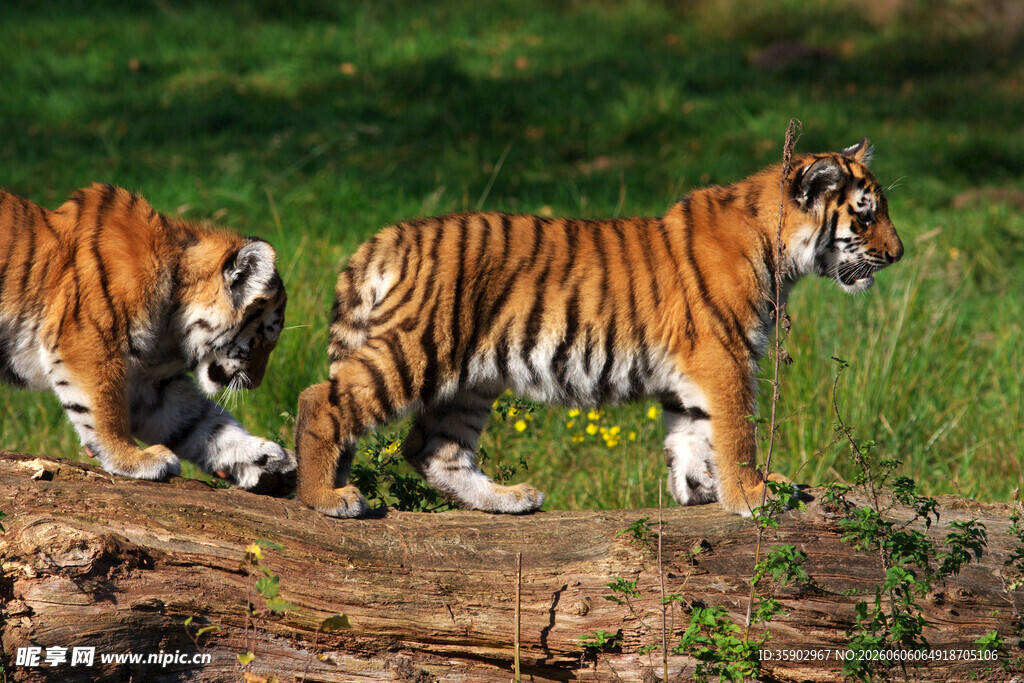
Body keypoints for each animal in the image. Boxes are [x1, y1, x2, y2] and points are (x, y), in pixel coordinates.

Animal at [0, 183, 296, 492]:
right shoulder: (87, 344)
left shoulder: (147, 383)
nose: (256, 383)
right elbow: (104, 408)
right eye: (264, 338)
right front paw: (131, 457)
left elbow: (202, 423)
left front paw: (265, 460)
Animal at [295, 139, 903, 518]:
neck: (780, 253)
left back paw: (509, 499)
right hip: (417, 349)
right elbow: (735, 431)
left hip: (470, 380)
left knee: (432, 450)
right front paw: (752, 494)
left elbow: (692, 432)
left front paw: (699, 490)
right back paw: (326, 498)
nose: (898, 255)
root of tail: (388, 236)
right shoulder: (725, 357)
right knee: (320, 400)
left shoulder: (694, 371)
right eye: (866, 214)